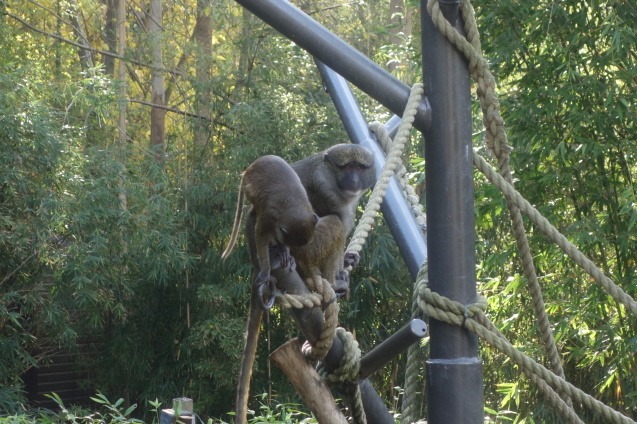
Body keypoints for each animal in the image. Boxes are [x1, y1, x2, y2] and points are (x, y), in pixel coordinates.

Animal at [234, 145, 376, 424]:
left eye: (359, 167)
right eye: (346, 167)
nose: (354, 180)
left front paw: (347, 262)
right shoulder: (322, 189)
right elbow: (336, 219)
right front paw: (338, 277)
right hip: (305, 250)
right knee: (334, 224)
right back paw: (333, 283)